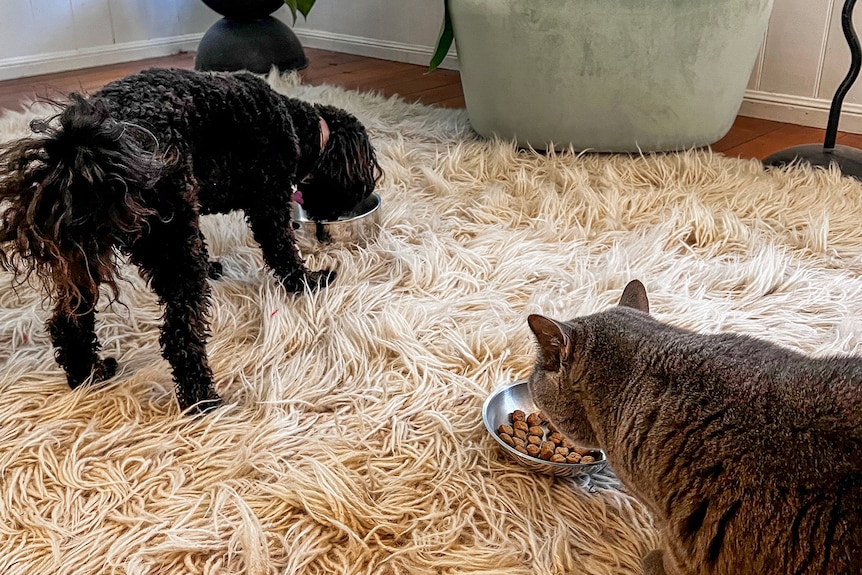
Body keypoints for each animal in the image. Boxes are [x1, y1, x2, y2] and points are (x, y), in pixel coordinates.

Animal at [0, 67, 382, 414]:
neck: (299, 126)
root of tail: (83, 151)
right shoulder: (268, 201)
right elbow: (282, 249)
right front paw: (308, 281)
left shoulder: (194, 207)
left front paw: (215, 266)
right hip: (169, 242)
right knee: (178, 335)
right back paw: (202, 399)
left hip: (89, 249)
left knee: (70, 319)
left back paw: (88, 373)